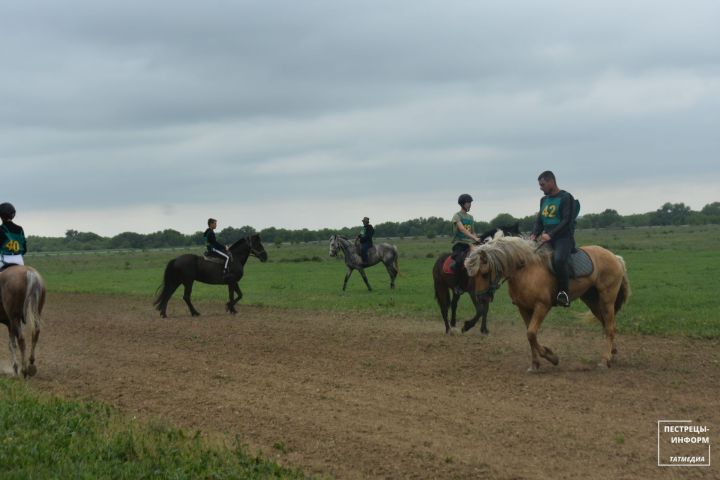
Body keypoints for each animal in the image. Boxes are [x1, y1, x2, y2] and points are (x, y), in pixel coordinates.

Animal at [466, 237, 632, 372]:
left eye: (484, 274)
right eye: (472, 276)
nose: (481, 299)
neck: (525, 271)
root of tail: (615, 257)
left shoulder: (542, 306)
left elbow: (531, 333)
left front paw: (551, 356)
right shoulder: (523, 308)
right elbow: (530, 336)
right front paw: (535, 364)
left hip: (607, 299)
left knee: (610, 327)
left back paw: (605, 360)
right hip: (592, 300)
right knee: (607, 324)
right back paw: (612, 353)